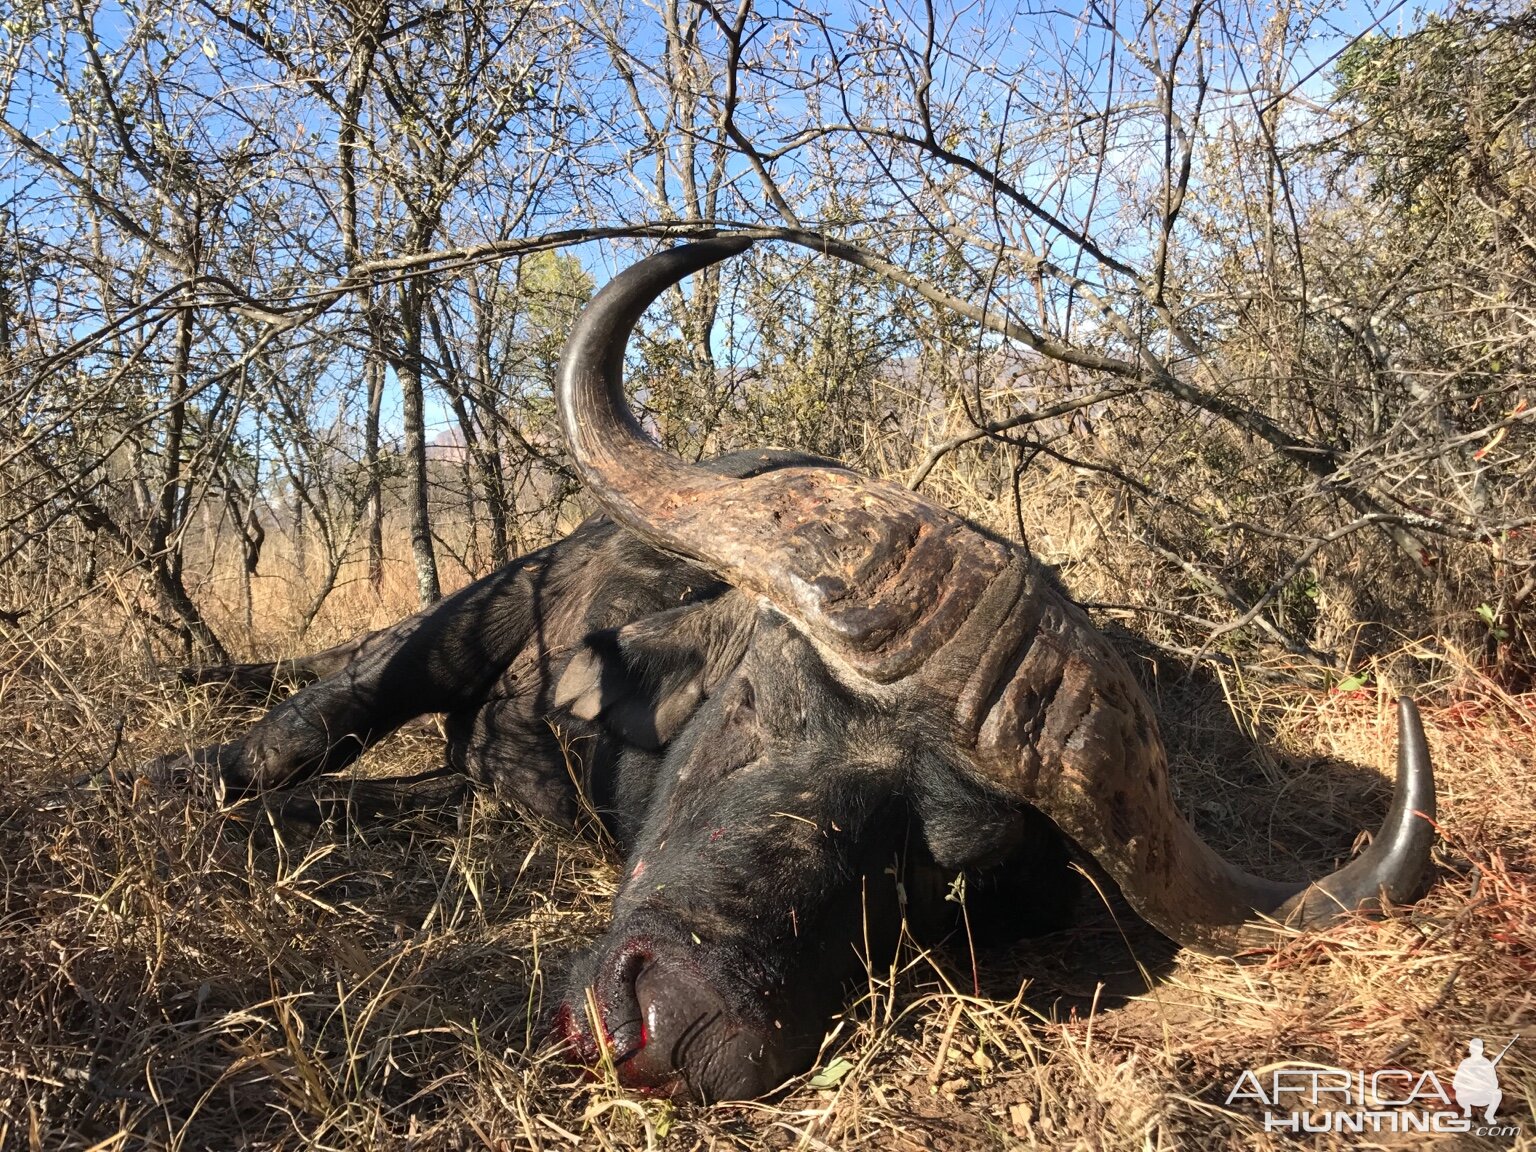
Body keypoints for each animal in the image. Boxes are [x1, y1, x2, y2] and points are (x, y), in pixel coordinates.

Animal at [141, 236, 1437, 1112]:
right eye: (761, 707)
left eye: (942, 874)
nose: (662, 1029)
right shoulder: (486, 611)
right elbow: (324, 718)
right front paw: (177, 774)